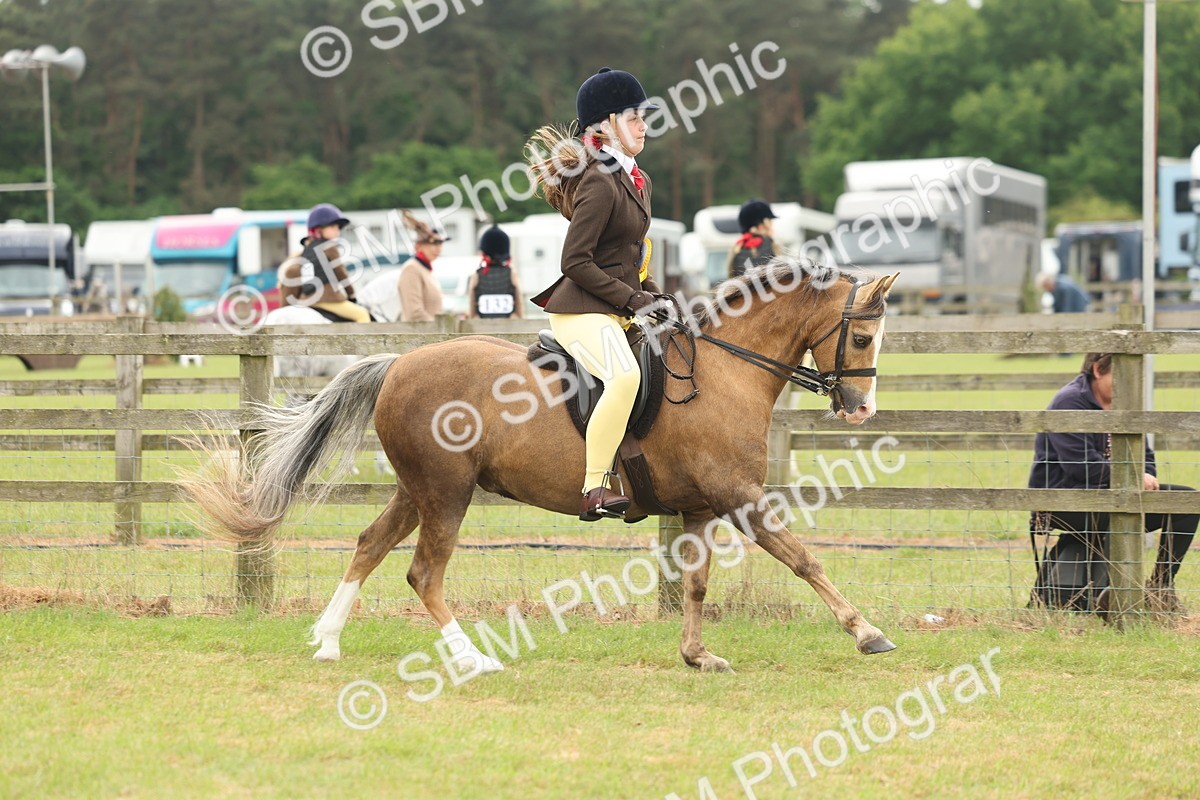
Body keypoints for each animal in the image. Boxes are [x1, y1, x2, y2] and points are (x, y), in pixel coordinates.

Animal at [182, 261, 898, 673]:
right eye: (862, 337)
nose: (860, 408)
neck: (725, 369)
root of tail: (399, 364)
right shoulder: (738, 497)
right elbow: (805, 560)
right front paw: (868, 634)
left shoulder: (700, 507)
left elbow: (695, 585)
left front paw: (696, 655)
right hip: (446, 492)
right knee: (422, 573)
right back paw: (472, 657)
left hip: (420, 489)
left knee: (369, 545)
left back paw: (329, 640)